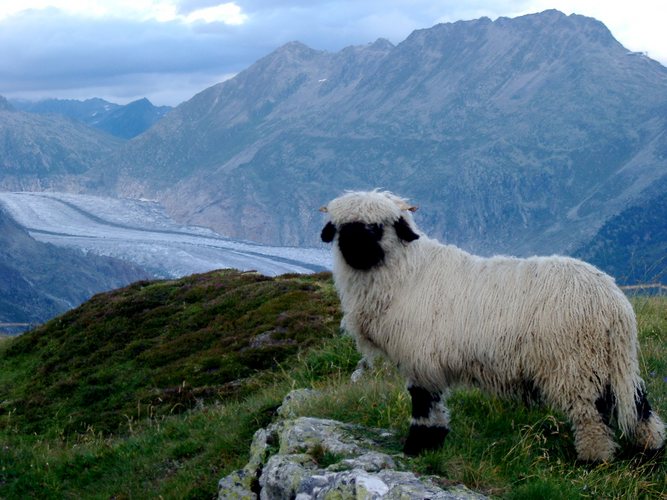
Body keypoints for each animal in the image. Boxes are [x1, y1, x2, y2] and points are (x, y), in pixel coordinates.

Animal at [320, 190, 664, 460]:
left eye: (377, 227)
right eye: (341, 228)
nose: (354, 249)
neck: (407, 275)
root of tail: (613, 302)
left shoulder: (420, 359)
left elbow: (424, 405)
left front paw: (419, 445)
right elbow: (433, 405)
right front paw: (434, 441)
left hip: (573, 365)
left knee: (591, 413)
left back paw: (594, 459)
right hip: (605, 361)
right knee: (637, 404)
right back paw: (649, 447)